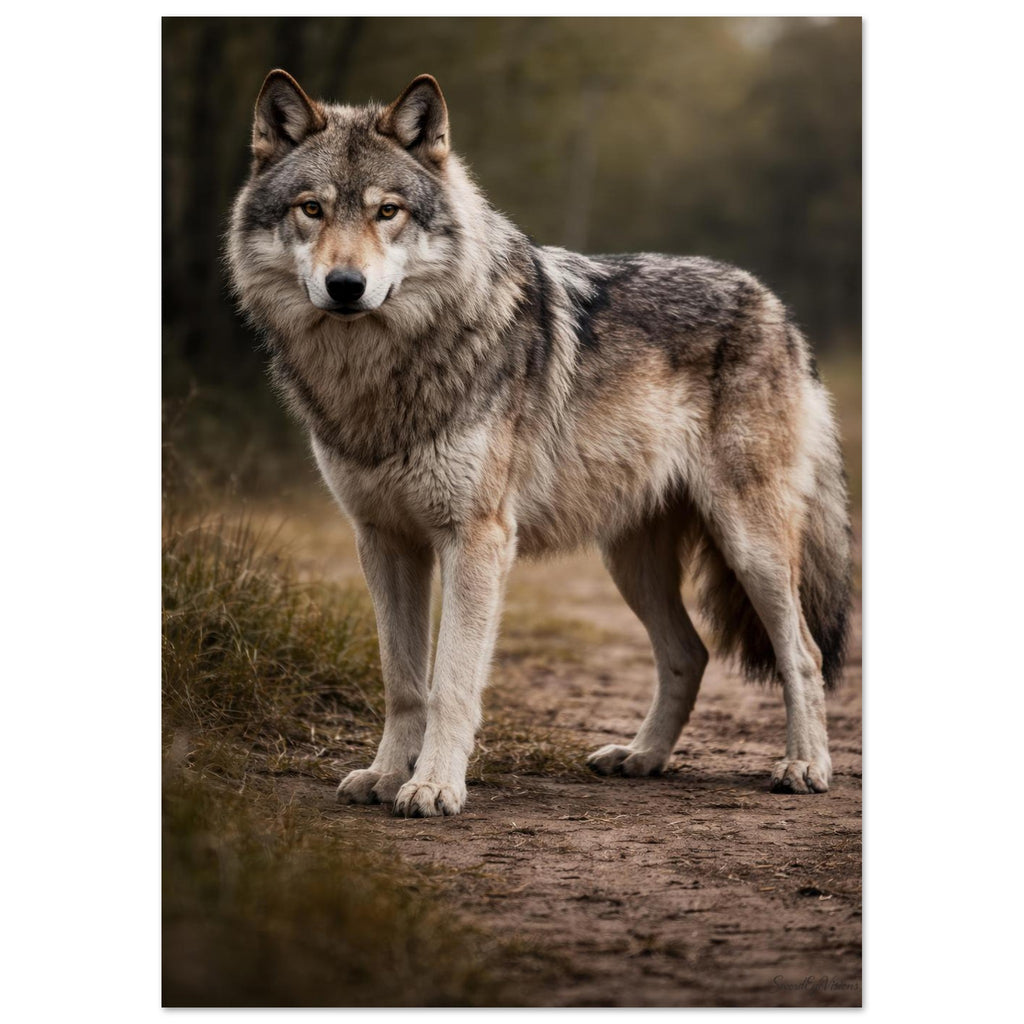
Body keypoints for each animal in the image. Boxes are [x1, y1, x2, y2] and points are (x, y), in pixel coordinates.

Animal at [228, 71, 852, 817]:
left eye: (388, 212)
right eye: (312, 209)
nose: (346, 286)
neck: (382, 373)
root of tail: (775, 305)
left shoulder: (476, 540)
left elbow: (450, 682)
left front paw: (433, 786)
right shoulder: (383, 540)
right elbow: (402, 681)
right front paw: (383, 776)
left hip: (749, 545)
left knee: (803, 654)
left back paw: (805, 765)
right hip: (630, 561)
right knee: (690, 654)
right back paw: (642, 757)